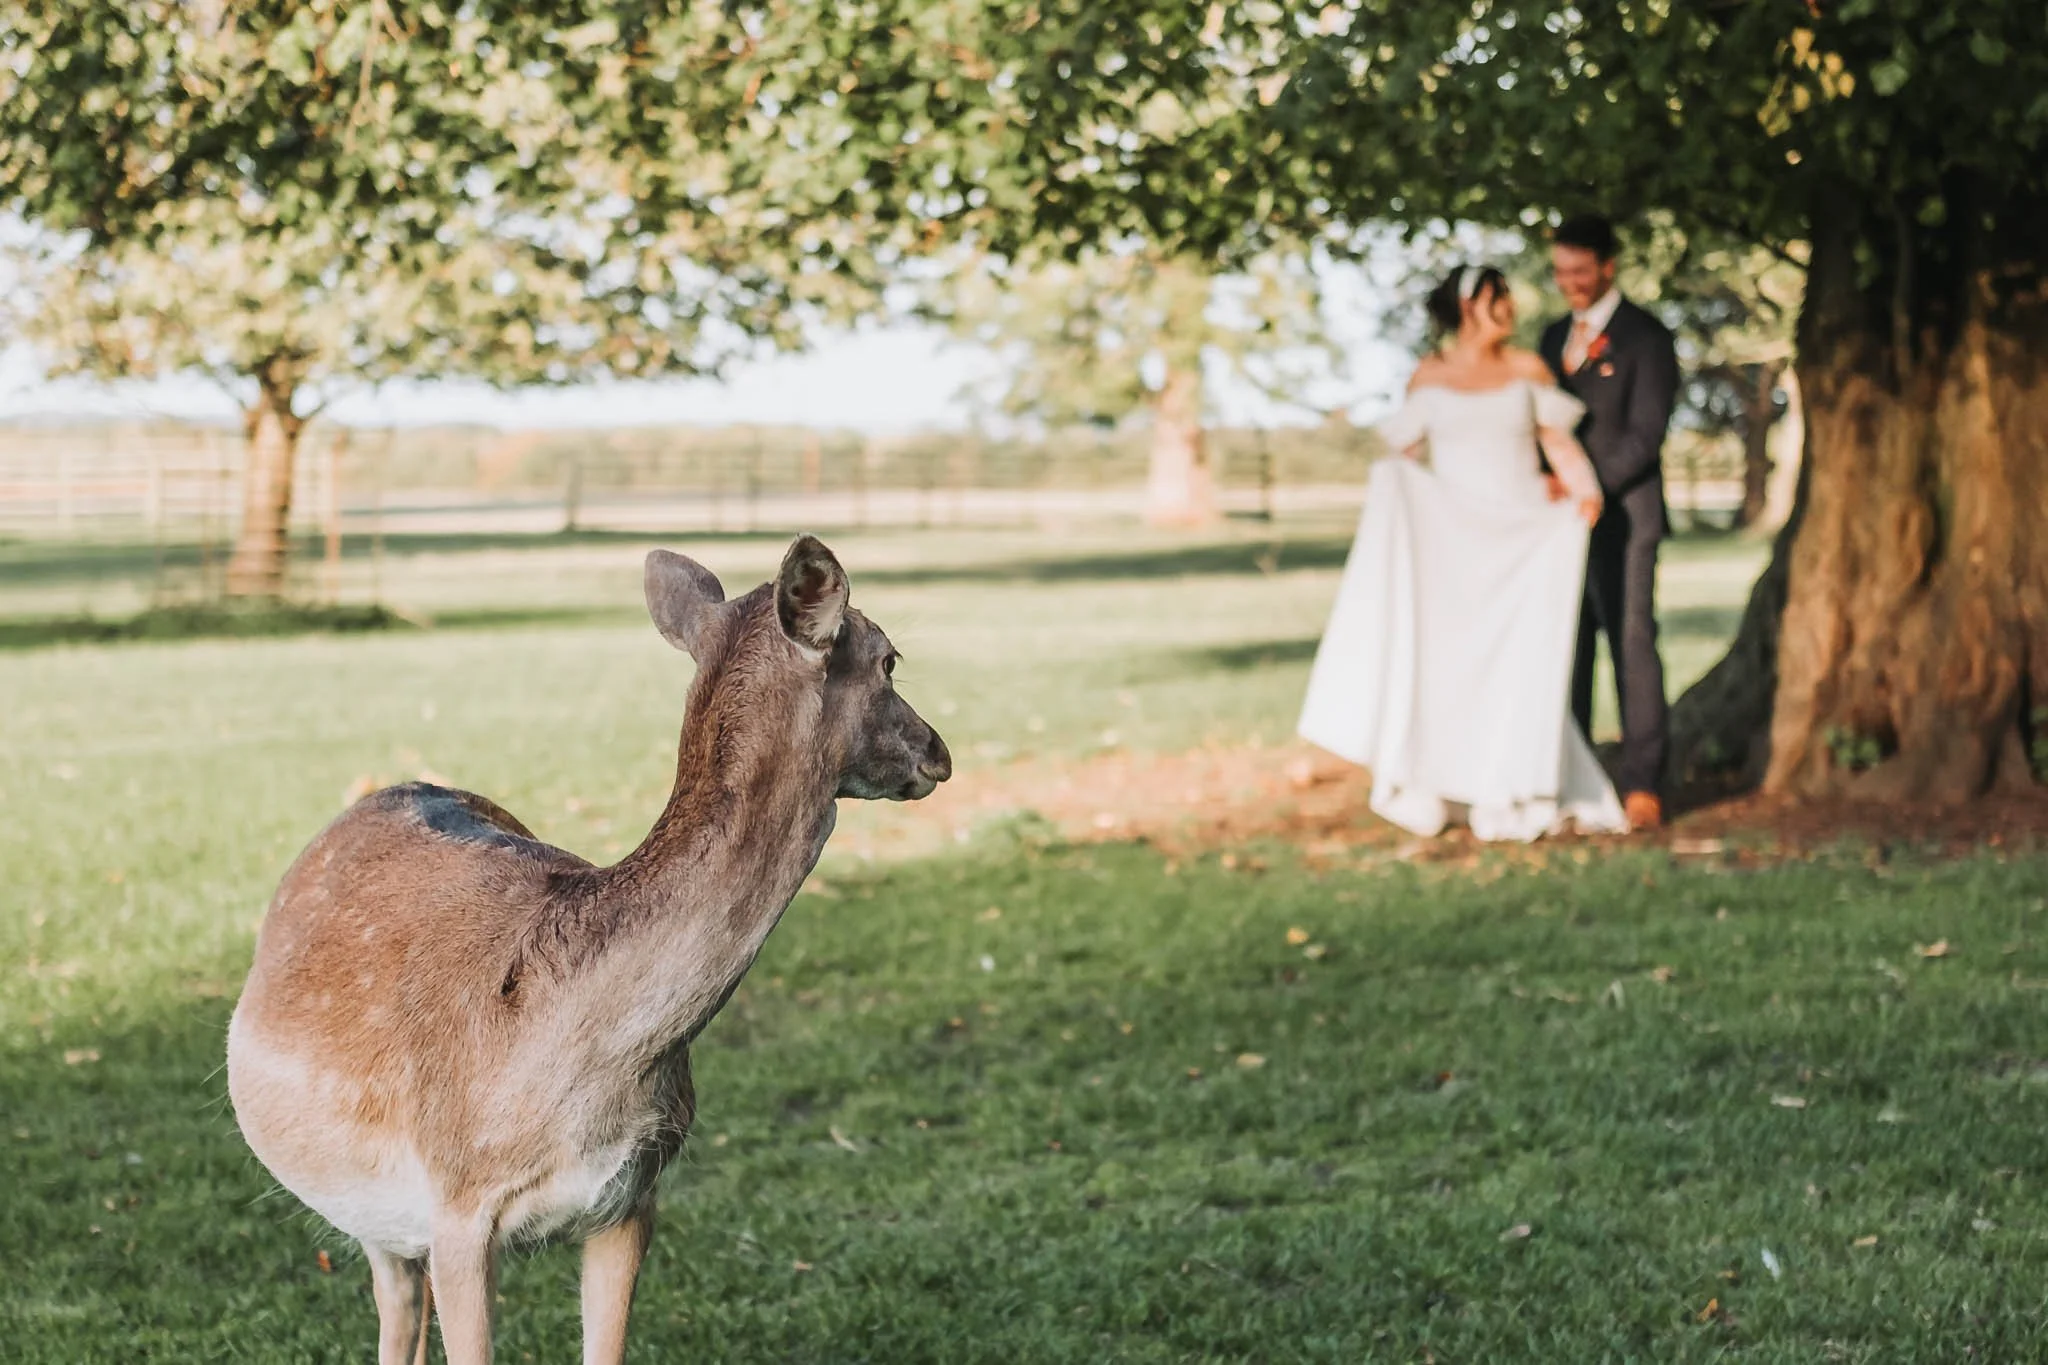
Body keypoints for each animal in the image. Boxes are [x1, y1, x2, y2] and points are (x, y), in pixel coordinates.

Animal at [226, 535, 950, 1365]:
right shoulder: (456, 1205)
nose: (938, 751)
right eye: (891, 657)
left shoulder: (633, 1194)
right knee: (394, 1309)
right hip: (367, 1203)